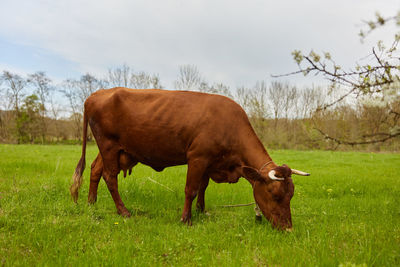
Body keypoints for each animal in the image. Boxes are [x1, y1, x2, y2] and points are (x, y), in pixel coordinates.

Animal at [71, 88, 310, 230]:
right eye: (274, 194)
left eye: (291, 195)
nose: (288, 228)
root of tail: (97, 93)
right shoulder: (197, 157)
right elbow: (191, 189)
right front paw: (186, 219)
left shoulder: (209, 162)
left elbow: (203, 187)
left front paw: (201, 210)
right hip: (108, 145)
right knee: (110, 177)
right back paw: (124, 211)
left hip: (115, 150)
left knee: (95, 169)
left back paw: (91, 203)